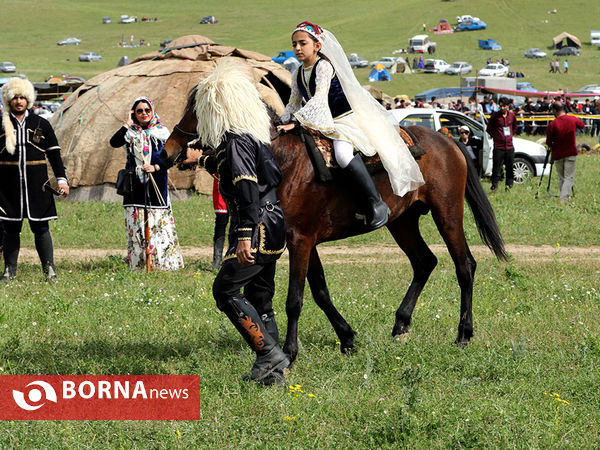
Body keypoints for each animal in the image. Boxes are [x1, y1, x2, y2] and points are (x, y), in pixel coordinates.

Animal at [164, 102, 506, 362]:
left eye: (198, 109)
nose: (168, 149)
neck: (283, 158)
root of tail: (447, 140)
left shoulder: (300, 241)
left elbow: (295, 299)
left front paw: (290, 352)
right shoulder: (306, 242)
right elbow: (320, 292)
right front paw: (347, 338)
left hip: (447, 213)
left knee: (464, 265)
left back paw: (463, 333)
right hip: (402, 221)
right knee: (424, 262)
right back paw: (401, 324)